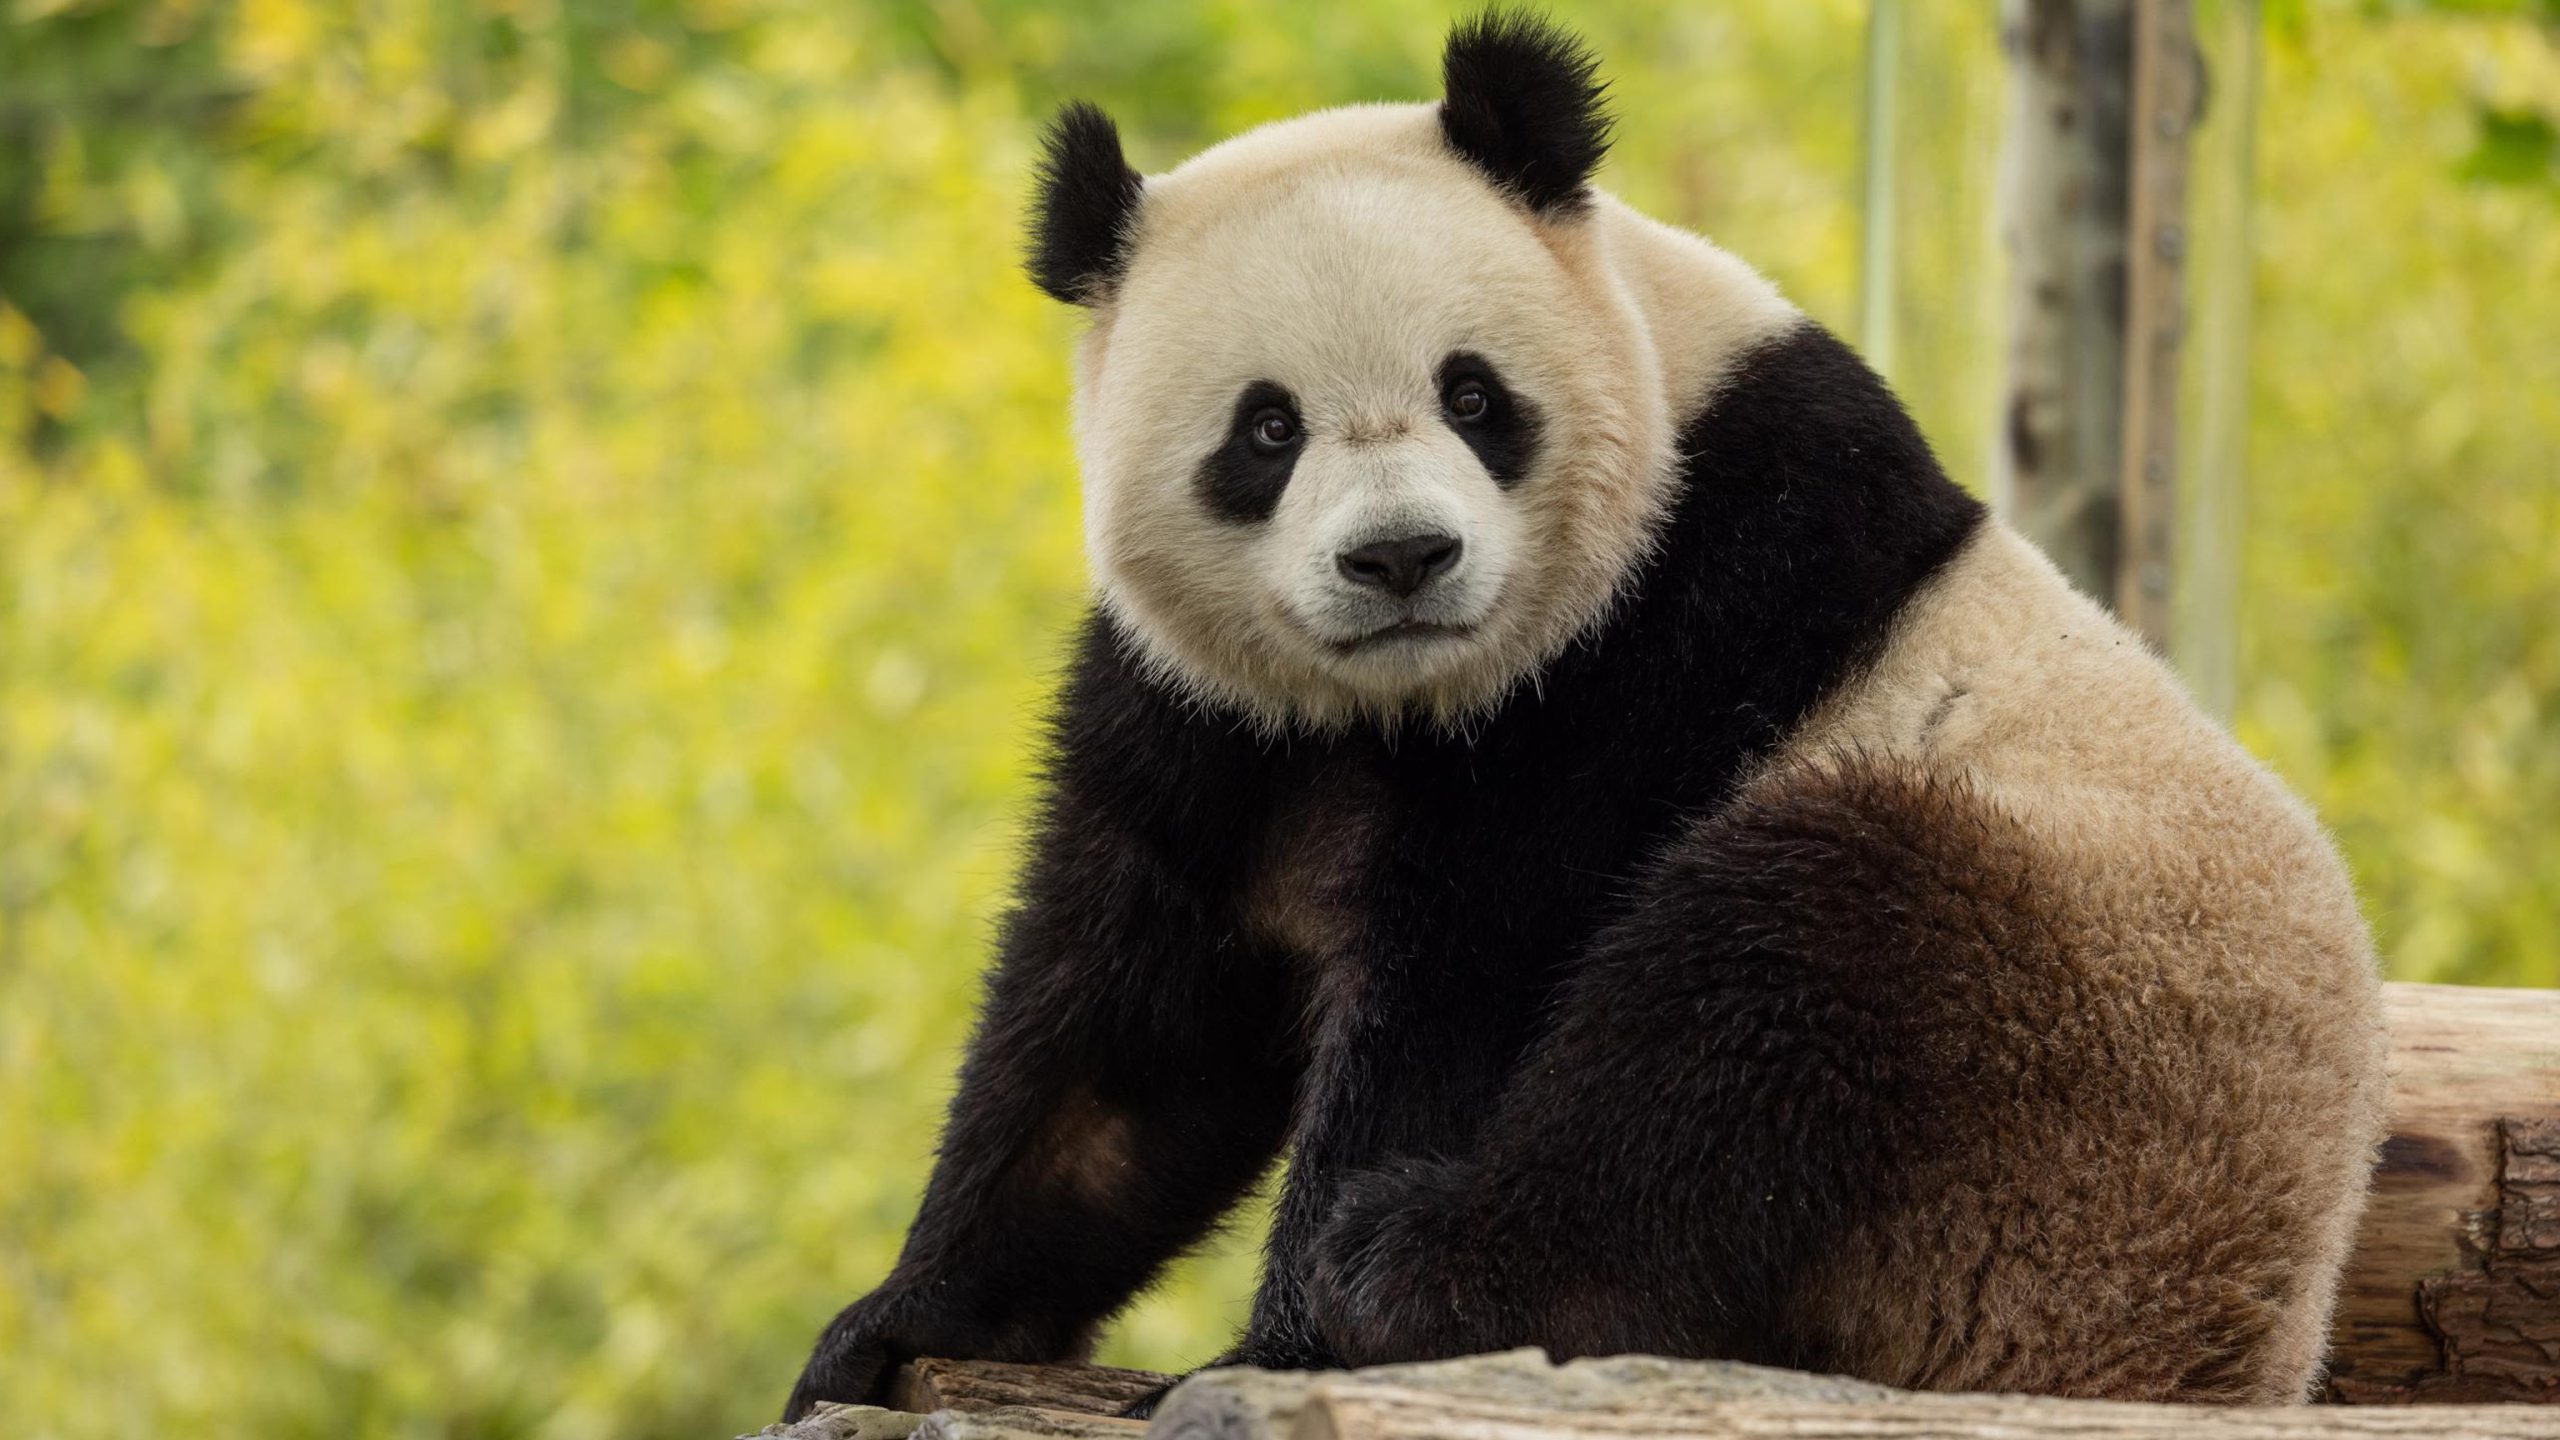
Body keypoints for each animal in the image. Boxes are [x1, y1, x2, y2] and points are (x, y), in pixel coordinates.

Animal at [788, 14, 2385, 1414]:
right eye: (1266, 428)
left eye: (1473, 395)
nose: (1400, 558)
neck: (1401, 703)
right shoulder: (1214, 716)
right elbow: (1130, 1032)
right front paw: (894, 1325)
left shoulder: (1673, 618)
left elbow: (1472, 983)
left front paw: (1281, 1346)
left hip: (2063, 1040)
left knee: (1768, 996)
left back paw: (1418, 1267)